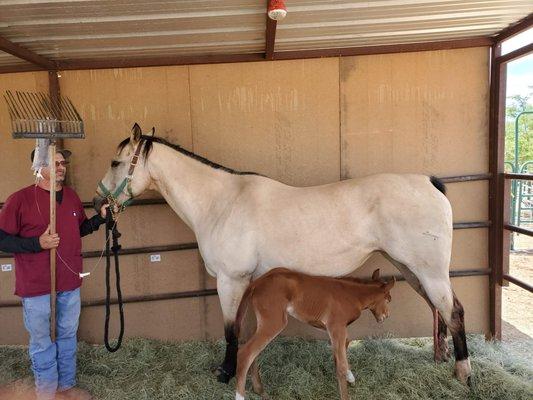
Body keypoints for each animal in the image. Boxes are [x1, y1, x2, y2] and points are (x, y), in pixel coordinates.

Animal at [235, 268, 392, 400]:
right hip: (274, 322)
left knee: (253, 351)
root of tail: (257, 282)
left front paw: (350, 376)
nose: (386, 316)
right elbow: (341, 364)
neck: (351, 295)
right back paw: (240, 395)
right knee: (245, 353)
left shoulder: (336, 330)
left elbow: (343, 347)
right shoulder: (336, 326)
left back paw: (259, 390)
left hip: (262, 323)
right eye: (388, 299)